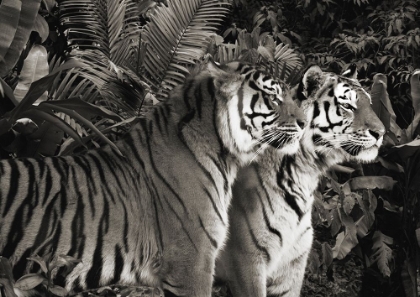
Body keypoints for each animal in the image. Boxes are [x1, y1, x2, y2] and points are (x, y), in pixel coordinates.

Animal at [215, 65, 386, 296]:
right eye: (347, 105)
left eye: (369, 103)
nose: (382, 133)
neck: (305, 173)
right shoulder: (247, 262)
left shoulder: (292, 263)